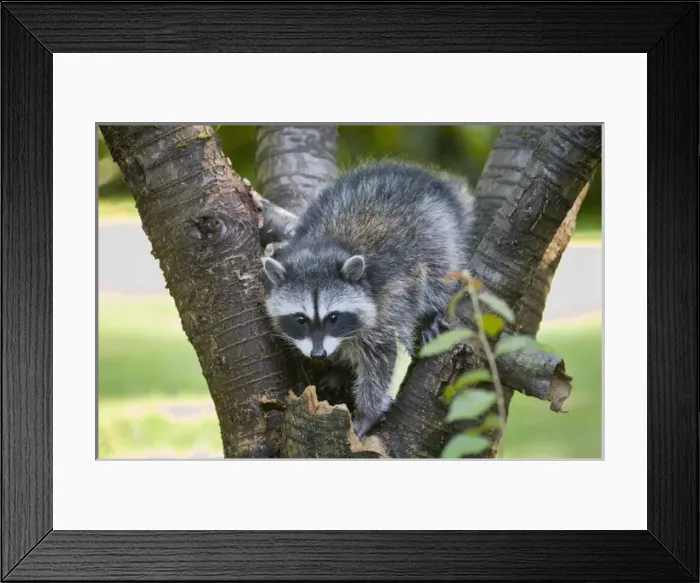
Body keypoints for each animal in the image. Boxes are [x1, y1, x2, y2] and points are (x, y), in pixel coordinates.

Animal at [262, 161, 474, 438]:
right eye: (300, 319)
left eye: (333, 317)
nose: (319, 354)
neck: (323, 250)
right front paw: (339, 365)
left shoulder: (389, 301)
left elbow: (381, 359)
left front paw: (367, 413)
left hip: (437, 231)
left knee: (439, 270)